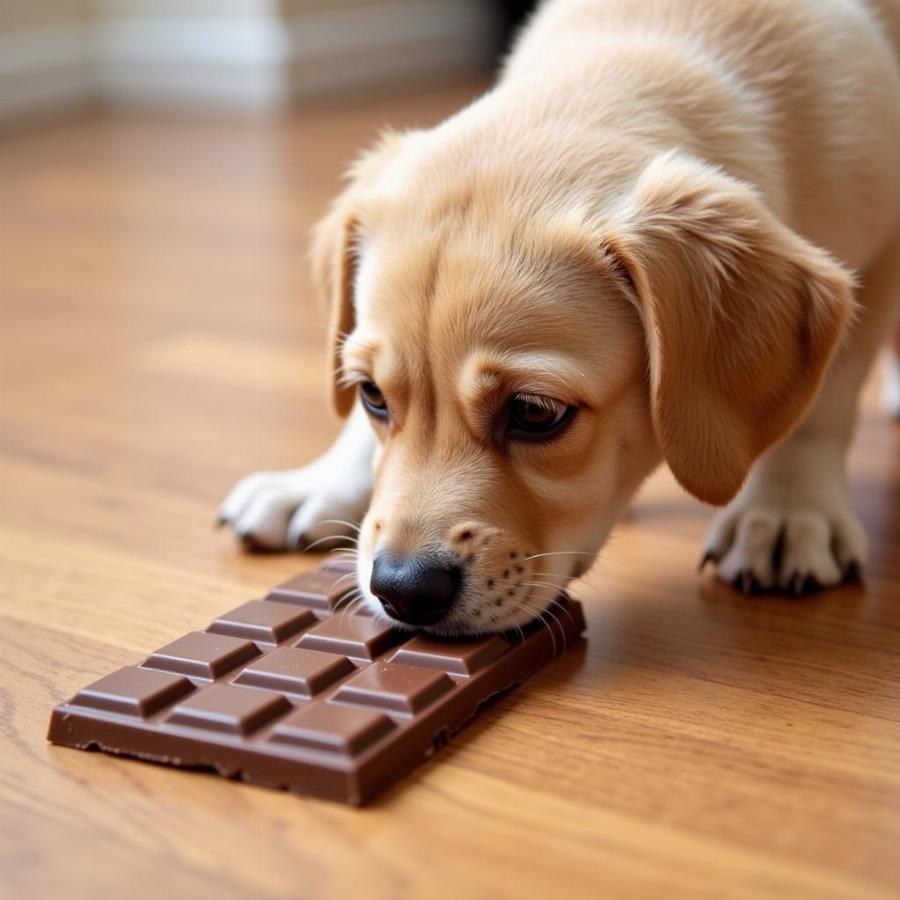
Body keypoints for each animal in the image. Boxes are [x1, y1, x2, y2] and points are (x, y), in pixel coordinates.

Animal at [221, 0, 900, 632]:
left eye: (535, 413)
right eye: (371, 396)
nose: (402, 591)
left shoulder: (877, 256)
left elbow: (823, 404)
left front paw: (787, 509)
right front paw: (319, 481)